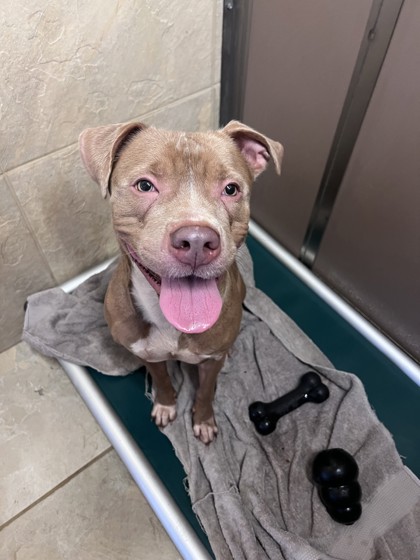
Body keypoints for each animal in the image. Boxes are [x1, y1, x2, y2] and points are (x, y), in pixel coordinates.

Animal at [79, 120, 283, 443]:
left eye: (231, 189)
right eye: (145, 185)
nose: (197, 240)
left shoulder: (211, 362)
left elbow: (206, 391)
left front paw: (203, 420)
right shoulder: (146, 353)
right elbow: (161, 379)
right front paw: (165, 404)